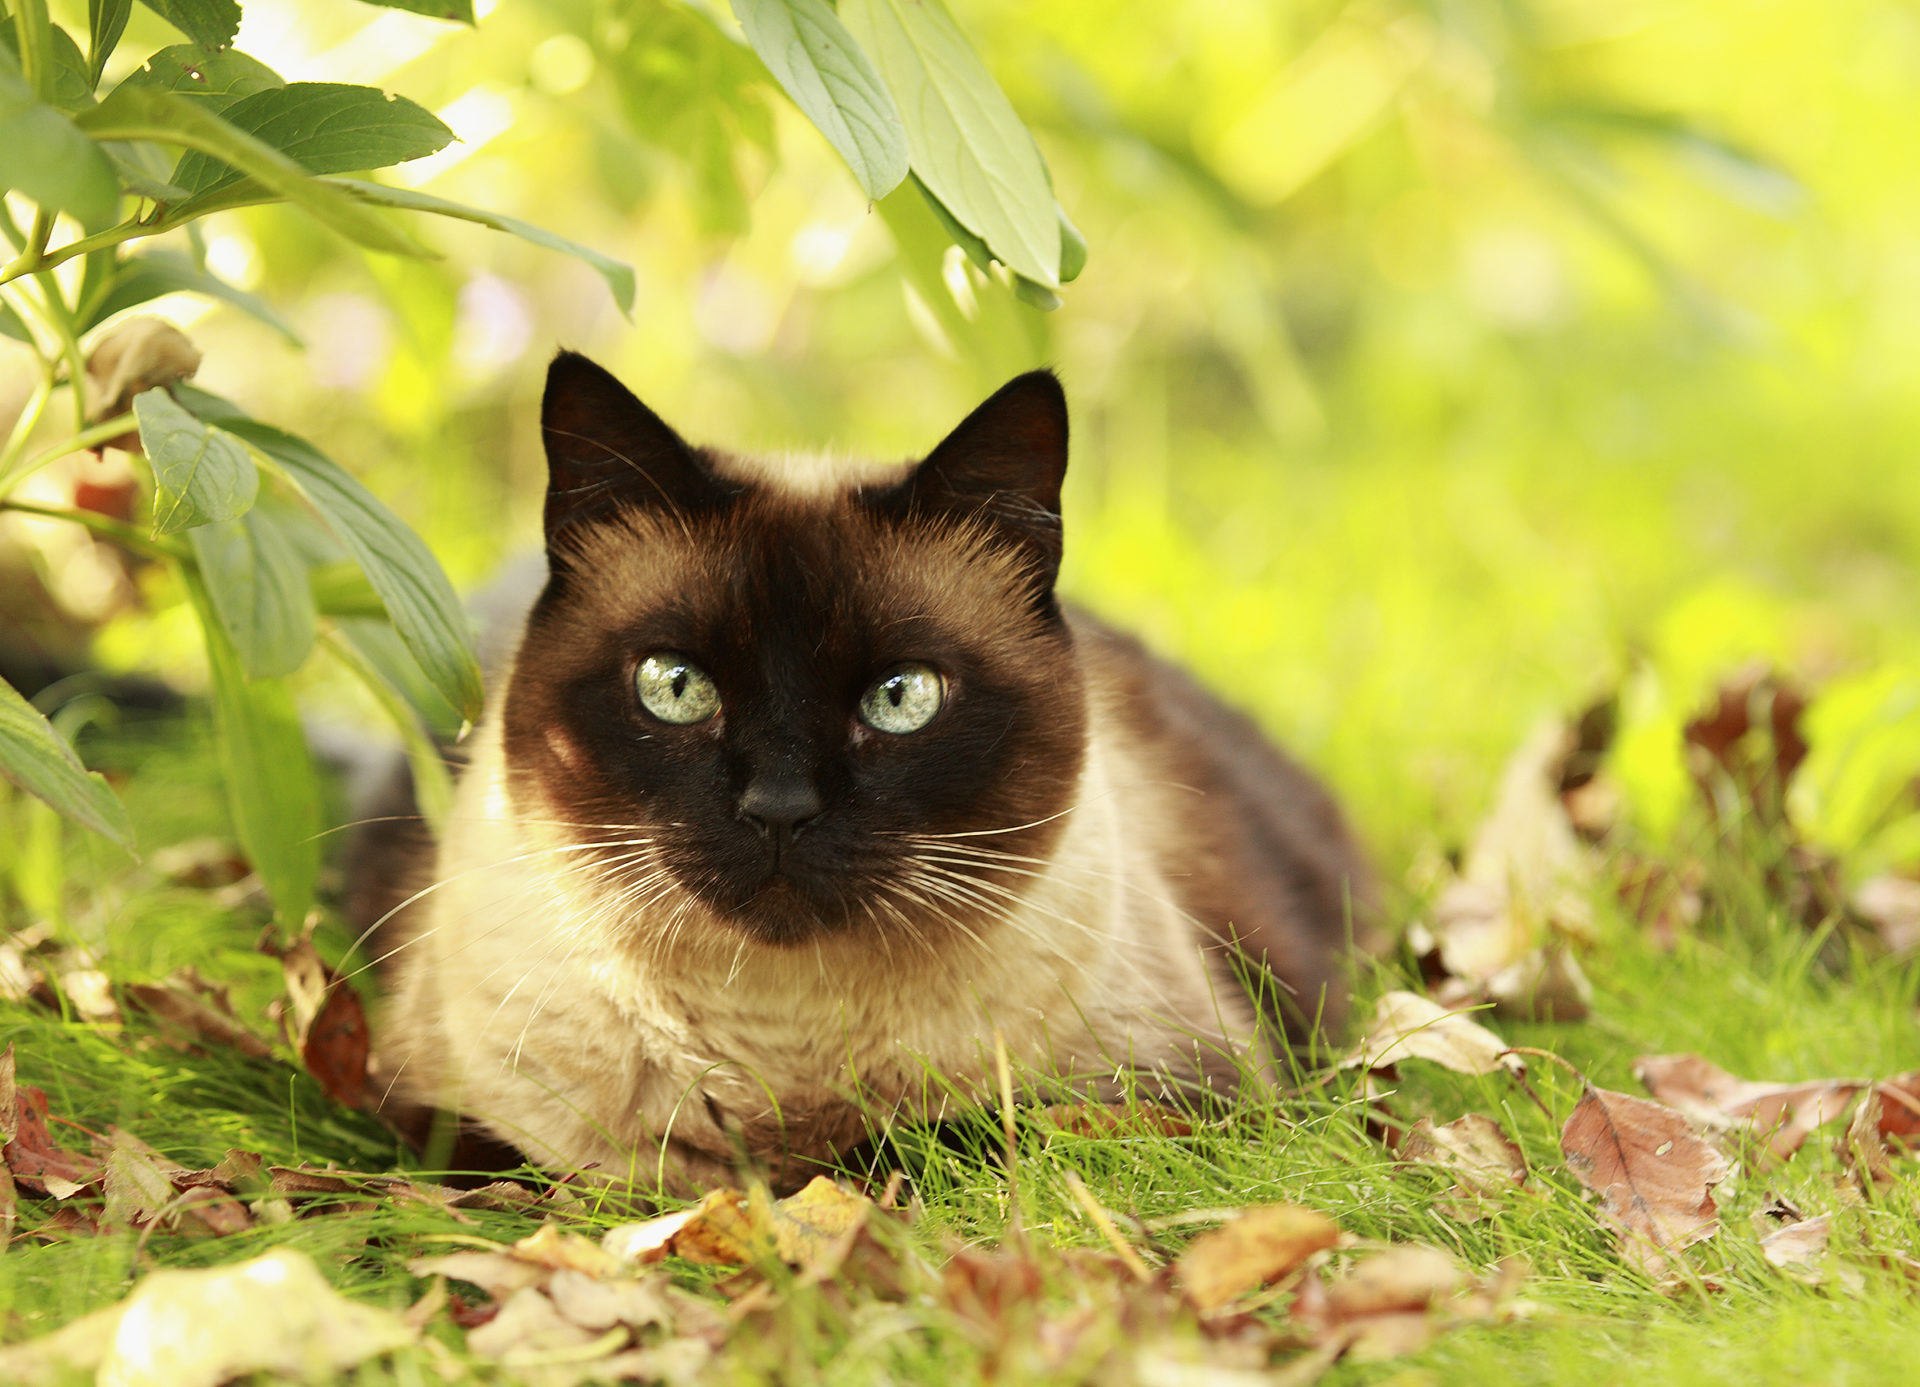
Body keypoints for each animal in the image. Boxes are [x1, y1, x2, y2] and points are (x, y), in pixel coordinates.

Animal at [366, 357, 1367, 1191]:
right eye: (675, 686)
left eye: (900, 697)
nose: (778, 809)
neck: (779, 1050)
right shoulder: (439, 1116)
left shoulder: (1188, 1094)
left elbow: (933, 1143)